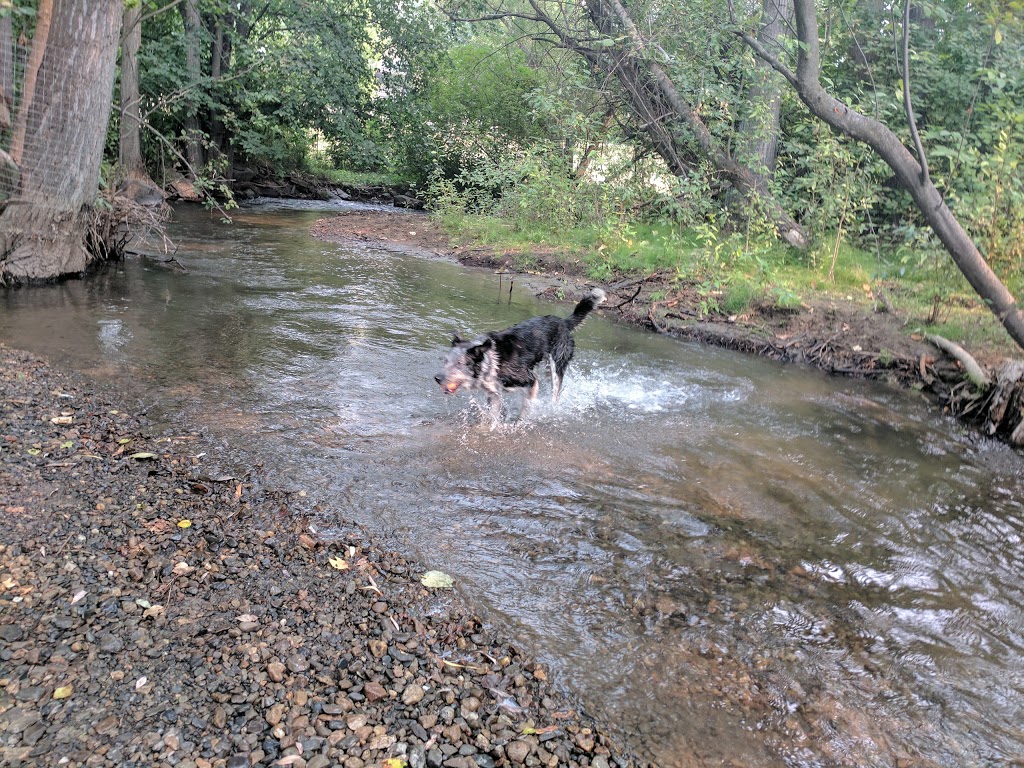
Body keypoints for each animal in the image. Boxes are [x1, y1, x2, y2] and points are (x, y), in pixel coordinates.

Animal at [434, 288, 606, 423]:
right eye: (445, 361)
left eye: (459, 364)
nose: (437, 378)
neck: (491, 361)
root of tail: (563, 322)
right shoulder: (494, 394)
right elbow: (492, 416)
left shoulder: (530, 380)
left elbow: (526, 407)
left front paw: (520, 421)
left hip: (556, 367)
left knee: (555, 394)